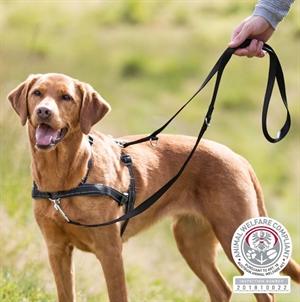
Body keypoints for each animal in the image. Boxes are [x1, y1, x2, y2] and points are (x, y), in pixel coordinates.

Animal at [7, 73, 300, 302]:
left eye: (66, 97)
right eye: (37, 93)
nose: (44, 111)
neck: (65, 179)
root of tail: (239, 158)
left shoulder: (110, 252)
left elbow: (118, 295)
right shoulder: (57, 249)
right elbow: (65, 294)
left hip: (232, 233)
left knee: (264, 292)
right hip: (190, 240)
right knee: (221, 289)